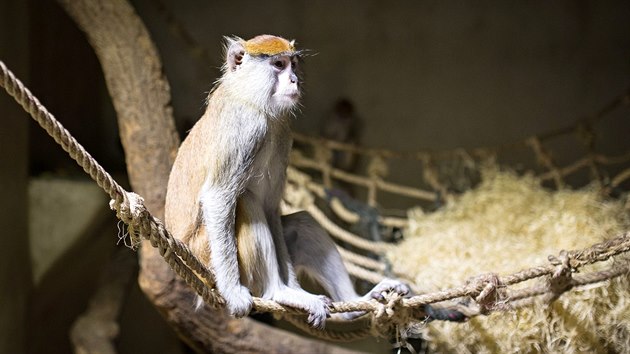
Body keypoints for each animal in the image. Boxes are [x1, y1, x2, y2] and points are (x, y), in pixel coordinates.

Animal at [163, 34, 410, 328]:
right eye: (278, 65)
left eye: (294, 64)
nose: (294, 80)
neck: (251, 97)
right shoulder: (246, 128)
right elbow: (218, 198)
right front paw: (236, 292)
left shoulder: (282, 134)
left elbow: (271, 210)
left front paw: (296, 288)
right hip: (206, 254)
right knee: (245, 201)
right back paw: (278, 292)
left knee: (301, 222)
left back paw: (354, 304)